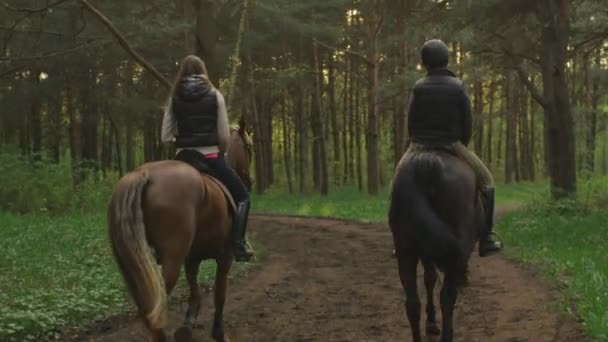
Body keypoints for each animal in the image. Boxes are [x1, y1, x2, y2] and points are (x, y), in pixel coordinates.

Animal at [108, 126, 253, 342]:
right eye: (249, 148)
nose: (249, 181)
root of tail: (142, 173)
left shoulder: (192, 257)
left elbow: (194, 289)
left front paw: (187, 325)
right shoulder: (225, 256)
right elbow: (220, 294)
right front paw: (219, 334)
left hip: (135, 262)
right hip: (172, 257)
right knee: (158, 299)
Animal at [390, 148, 484, 342]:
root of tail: (426, 164)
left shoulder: (426, 252)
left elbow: (429, 278)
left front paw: (431, 322)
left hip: (406, 252)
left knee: (412, 303)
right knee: (447, 296)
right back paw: (447, 336)